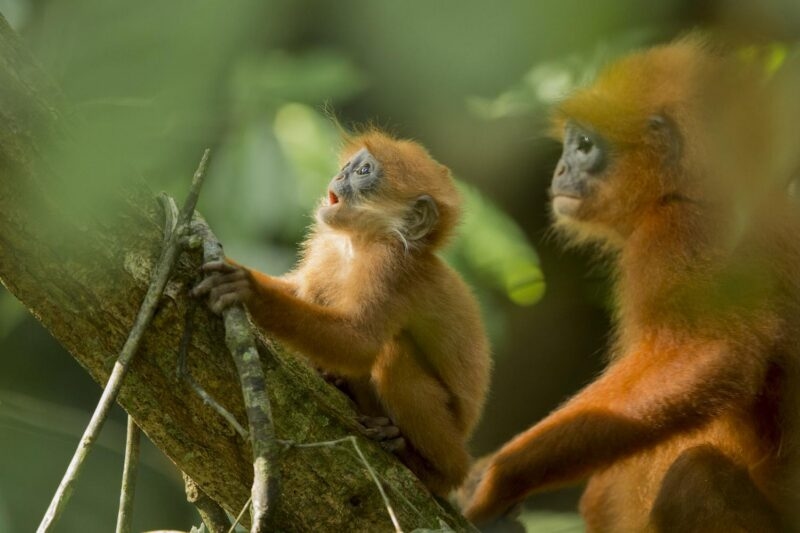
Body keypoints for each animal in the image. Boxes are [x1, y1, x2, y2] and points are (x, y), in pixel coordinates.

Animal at [193, 128, 492, 496]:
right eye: (351, 165)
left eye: (363, 172)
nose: (340, 174)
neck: (356, 244)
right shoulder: (327, 245)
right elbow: (301, 290)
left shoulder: (391, 268)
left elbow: (360, 345)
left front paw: (249, 290)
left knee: (392, 356)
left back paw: (429, 467)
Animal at [461, 36, 800, 531]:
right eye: (570, 144)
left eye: (584, 146)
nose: (560, 171)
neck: (689, 192)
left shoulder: (683, 234)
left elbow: (711, 354)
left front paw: (501, 476)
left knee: (695, 475)